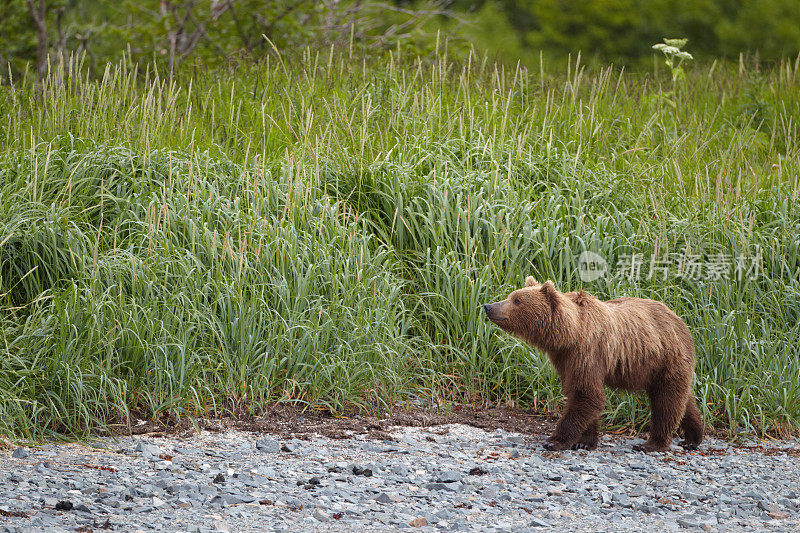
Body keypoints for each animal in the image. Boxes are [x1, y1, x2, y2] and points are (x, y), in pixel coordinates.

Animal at [482, 276, 700, 450]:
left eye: (516, 300)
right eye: (511, 296)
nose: (489, 306)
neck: (570, 334)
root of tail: (681, 321)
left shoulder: (588, 352)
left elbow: (586, 394)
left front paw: (555, 440)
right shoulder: (566, 360)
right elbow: (579, 394)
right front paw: (584, 441)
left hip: (667, 357)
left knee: (666, 402)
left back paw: (653, 444)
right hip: (657, 367)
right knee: (682, 400)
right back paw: (694, 437)